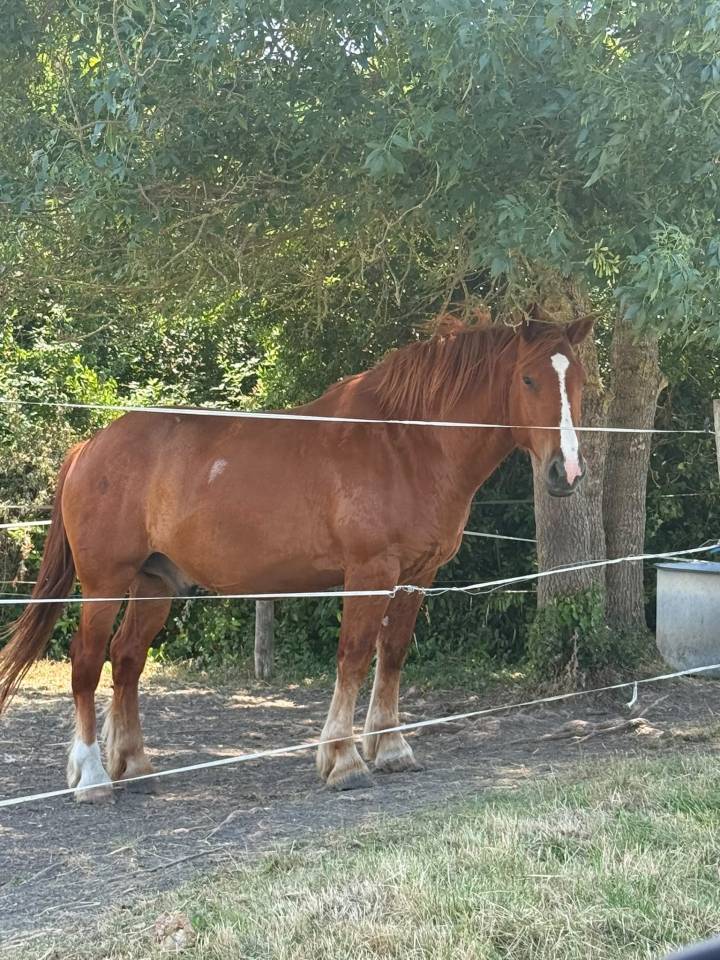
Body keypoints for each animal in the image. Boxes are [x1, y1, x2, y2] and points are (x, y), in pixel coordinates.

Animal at [0, 314, 592, 802]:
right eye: (529, 380)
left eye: (580, 382)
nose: (565, 472)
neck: (407, 442)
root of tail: (89, 447)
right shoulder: (370, 572)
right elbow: (354, 656)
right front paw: (343, 760)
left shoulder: (417, 575)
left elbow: (393, 655)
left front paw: (392, 749)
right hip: (105, 582)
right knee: (86, 661)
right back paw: (92, 777)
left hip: (154, 583)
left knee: (126, 661)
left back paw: (137, 766)